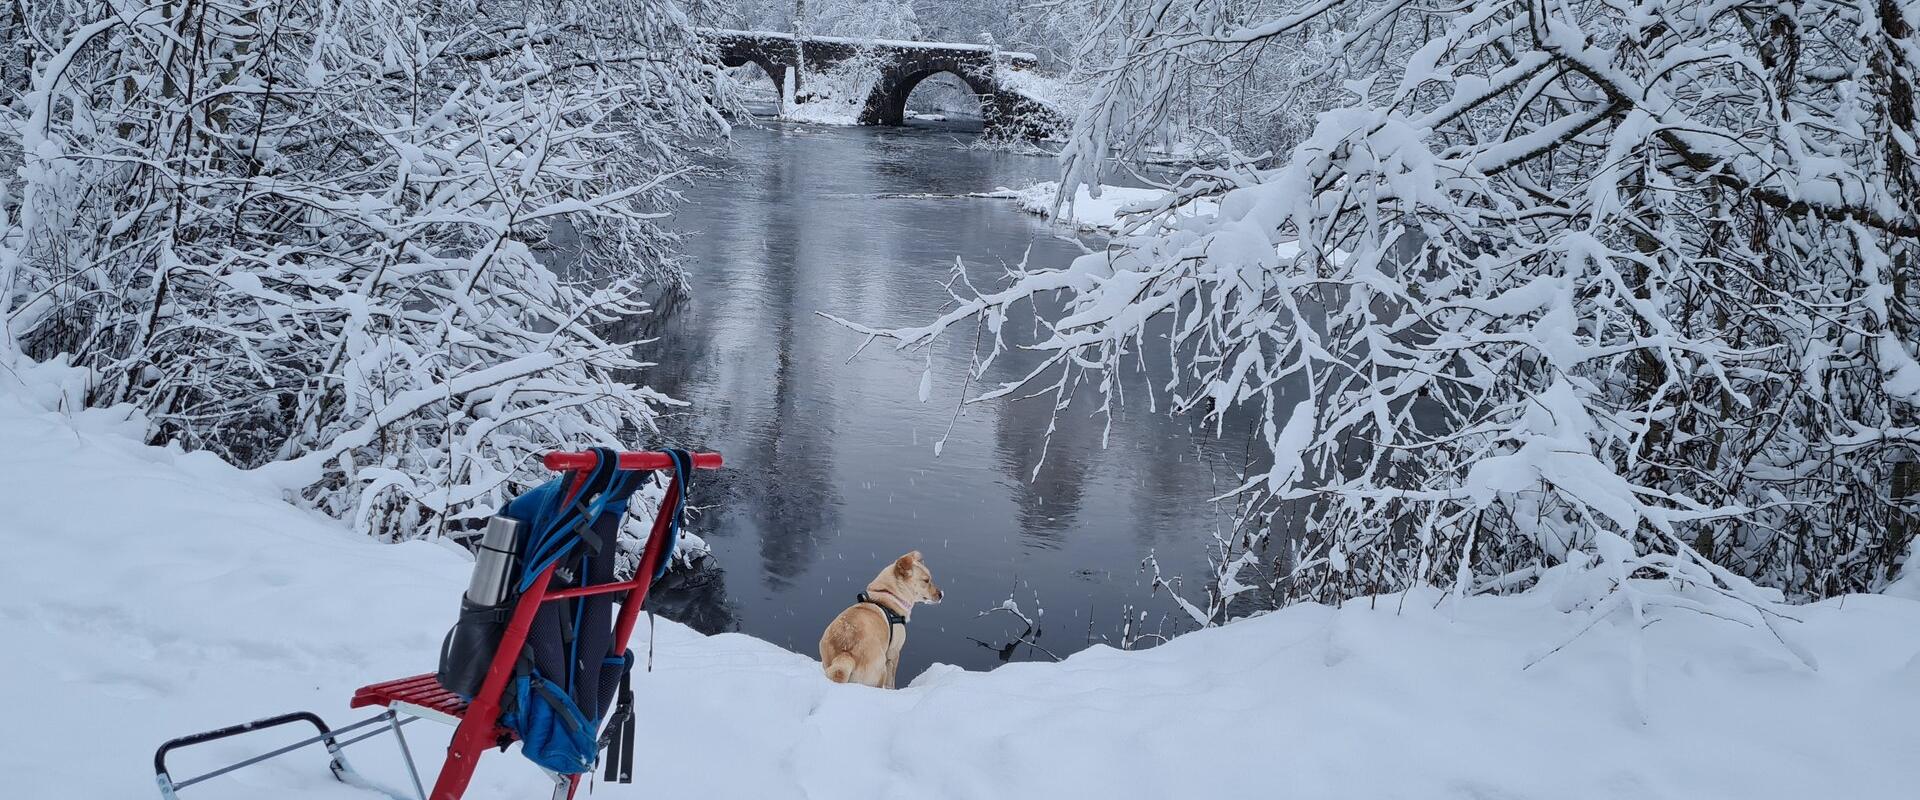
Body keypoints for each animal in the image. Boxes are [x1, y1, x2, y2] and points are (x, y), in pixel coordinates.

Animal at [817, 548, 944, 686]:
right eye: (926, 580)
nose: (941, 594)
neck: (889, 594)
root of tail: (845, 655)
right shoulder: (894, 653)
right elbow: (891, 682)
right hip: (881, 670)